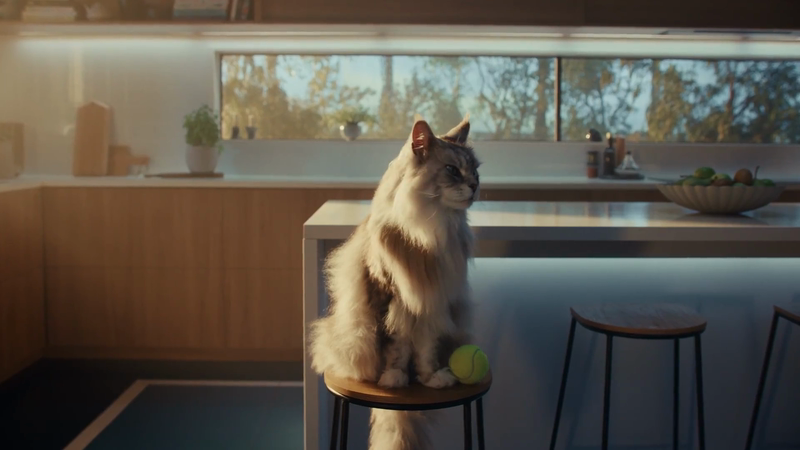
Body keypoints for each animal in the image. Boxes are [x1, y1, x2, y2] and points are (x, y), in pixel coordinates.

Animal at [308, 114, 480, 450]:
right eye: (453, 170)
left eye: (476, 170)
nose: (474, 186)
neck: (431, 232)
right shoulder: (391, 299)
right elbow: (396, 348)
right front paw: (394, 379)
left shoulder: (430, 306)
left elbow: (425, 351)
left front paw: (430, 379)